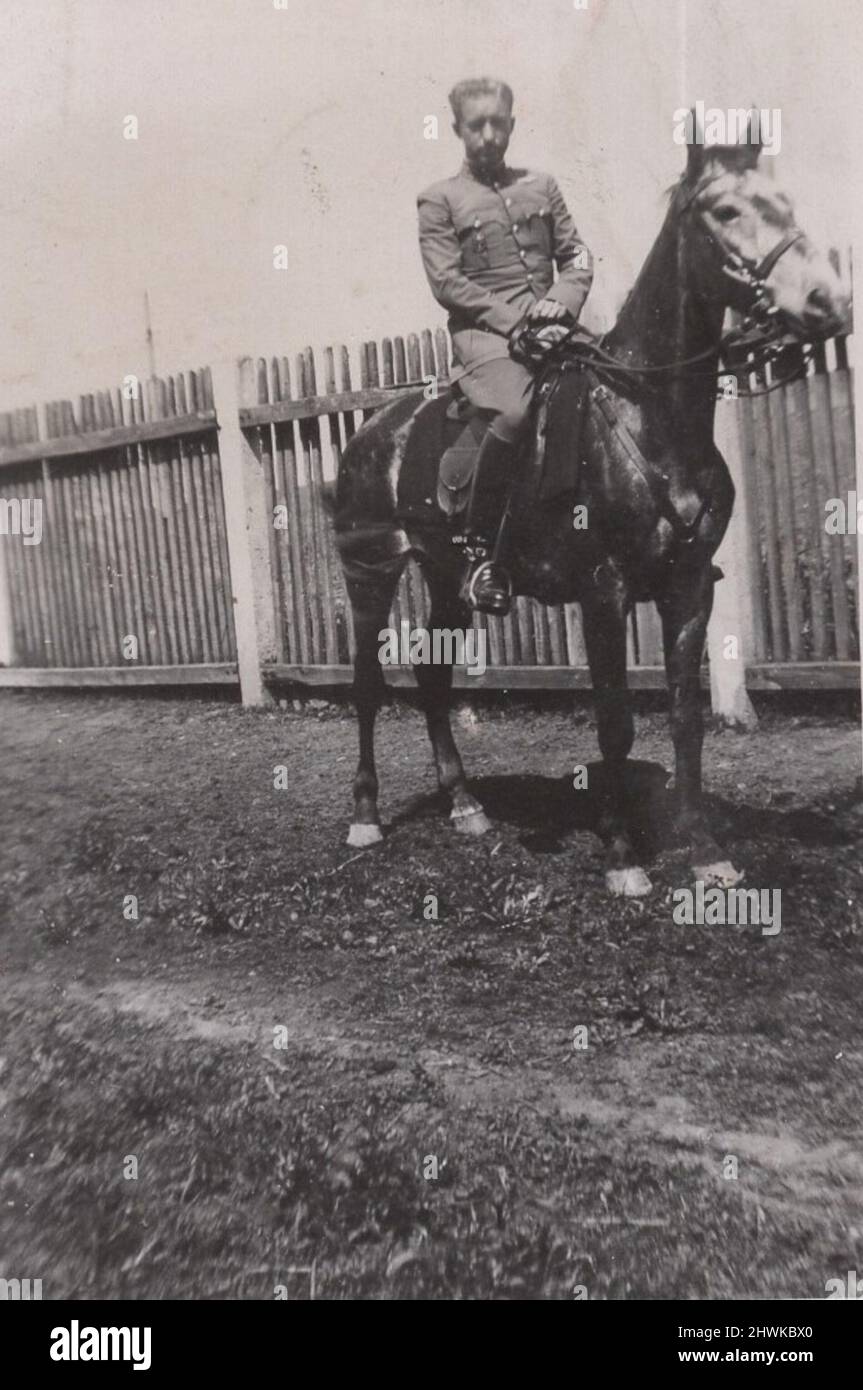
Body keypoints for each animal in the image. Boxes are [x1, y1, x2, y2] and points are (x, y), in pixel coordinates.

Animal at [332, 130, 850, 895]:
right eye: (725, 211)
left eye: (786, 202)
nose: (826, 301)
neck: (649, 415)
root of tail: (374, 429)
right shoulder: (603, 591)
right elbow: (613, 724)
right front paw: (622, 856)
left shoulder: (688, 589)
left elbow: (685, 718)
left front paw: (703, 849)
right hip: (370, 572)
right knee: (368, 685)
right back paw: (365, 817)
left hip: (447, 578)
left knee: (432, 678)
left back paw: (465, 805)